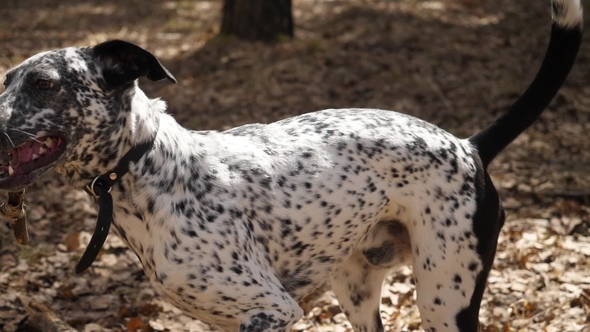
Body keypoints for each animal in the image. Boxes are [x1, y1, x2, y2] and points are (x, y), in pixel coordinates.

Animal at [0, 0, 584, 332]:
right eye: (6, 79)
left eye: (44, 84)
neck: (153, 171)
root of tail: (468, 146)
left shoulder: (270, 309)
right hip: (358, 290)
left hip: (446, 299)